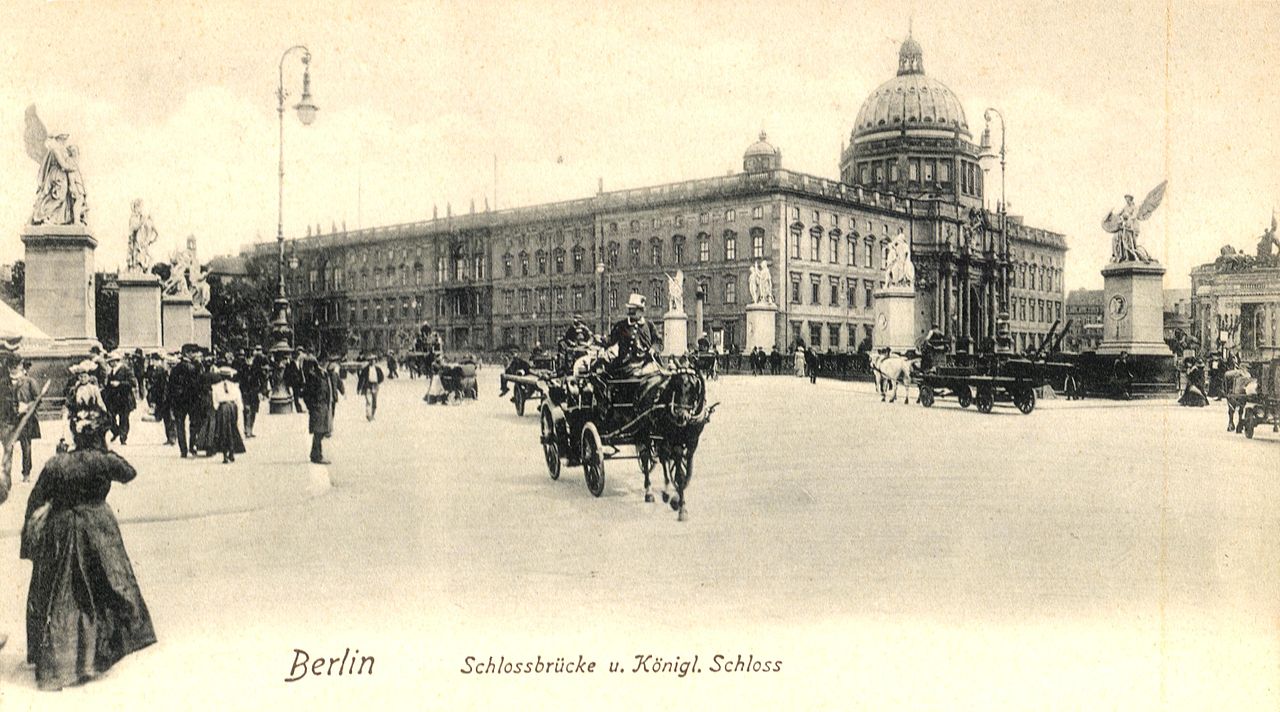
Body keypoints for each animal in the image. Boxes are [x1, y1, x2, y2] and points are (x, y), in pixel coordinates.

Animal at [632, 366, 721, 522]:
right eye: (675, 387)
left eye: (693, 390)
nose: (681, 417)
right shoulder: (675, 443)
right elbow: (679, 475)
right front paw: (682, 508)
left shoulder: (692, 444)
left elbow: (685, 474)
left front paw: (676, 499)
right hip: (644, 432)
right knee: (646, 457)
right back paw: (649, 491)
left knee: (663, 458)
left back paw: (666, 491)